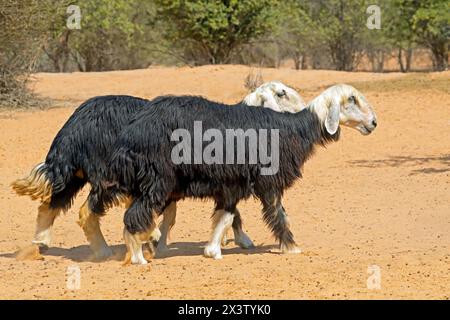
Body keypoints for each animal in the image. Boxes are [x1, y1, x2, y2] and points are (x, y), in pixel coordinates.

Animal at [101, 84, 376, 264]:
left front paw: (213, 249)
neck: (294, 129)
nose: (373, 123)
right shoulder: (264, 181)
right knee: (134, 215)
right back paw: (138, 257)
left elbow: (226, 215)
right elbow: (277, 215)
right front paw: (292, 247)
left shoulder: (231, 183)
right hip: (158, 180)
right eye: (352, 98)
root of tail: (131, 133)